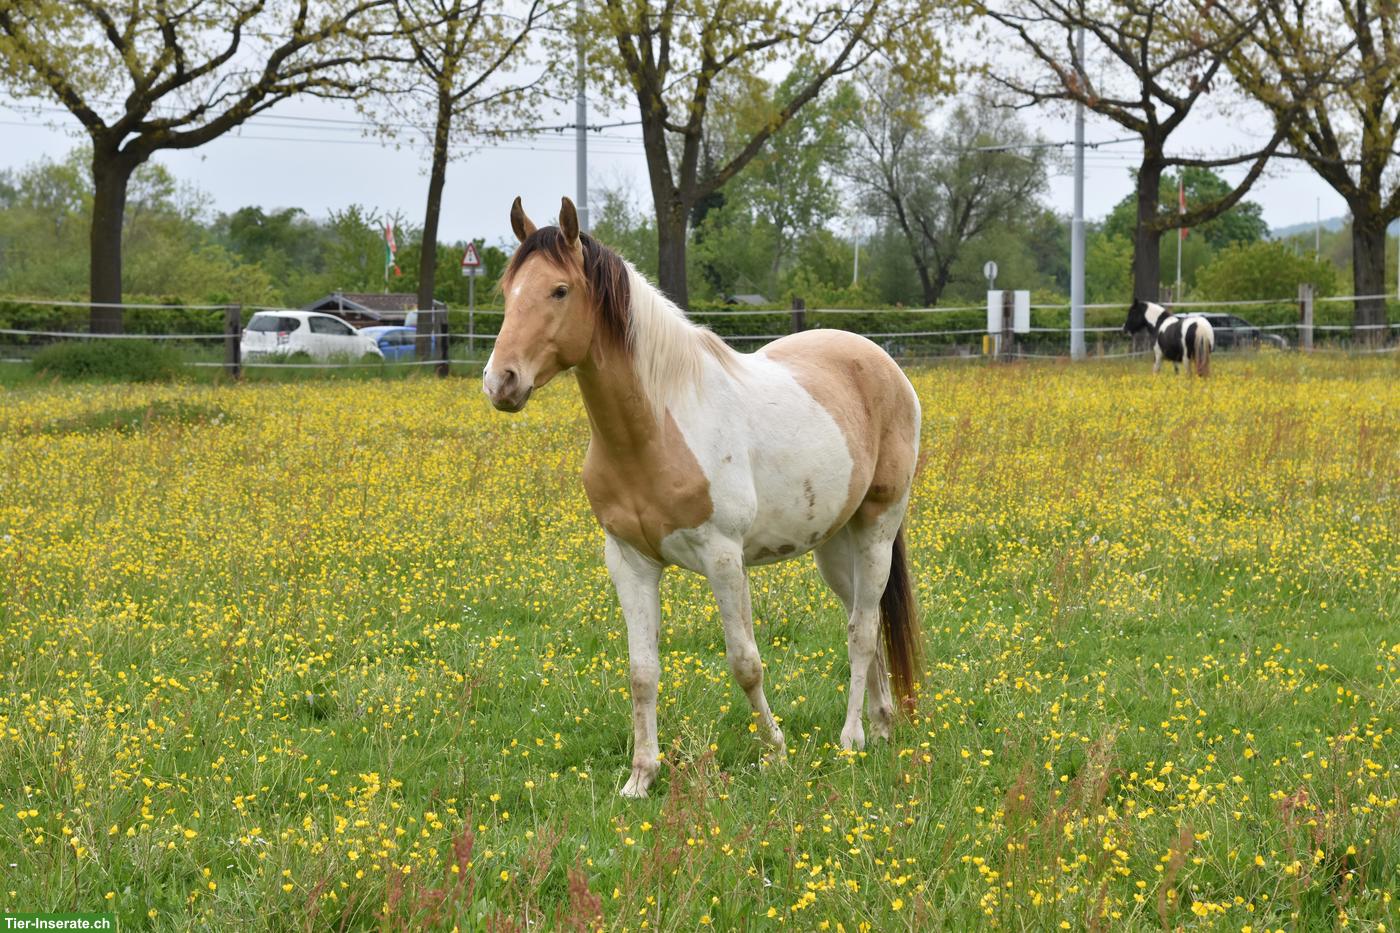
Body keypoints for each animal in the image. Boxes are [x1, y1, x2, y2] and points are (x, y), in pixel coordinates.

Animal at [483, 196, 923, 798]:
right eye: (507, 290)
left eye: (559, 290)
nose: (500, 382)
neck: (656, 429)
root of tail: (884, 364)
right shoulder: (629, 561)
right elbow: (642, 672)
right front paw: (641, 777)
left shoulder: (723, 557)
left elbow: (745, 662)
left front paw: (775, 751)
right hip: (836, 545)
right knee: (868, 618)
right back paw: (880, 728)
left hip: (878, 527)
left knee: (861, 632)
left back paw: (851, 738)